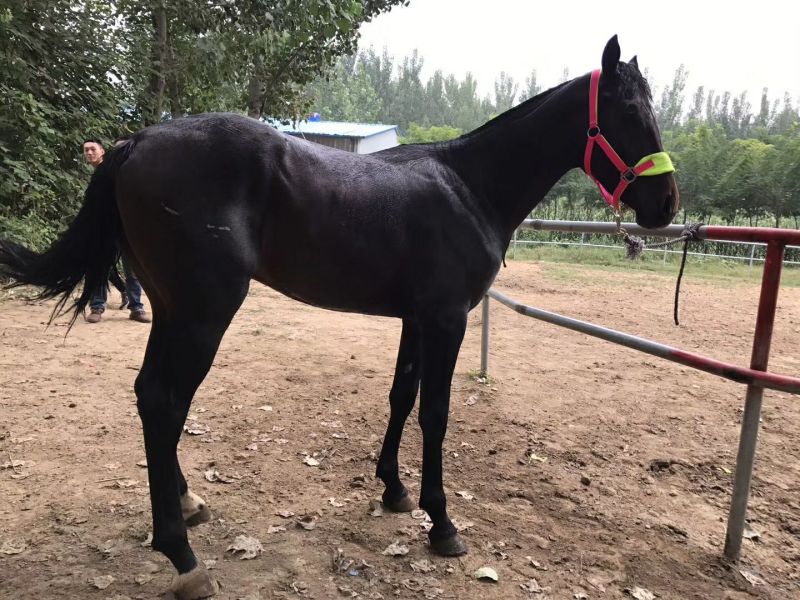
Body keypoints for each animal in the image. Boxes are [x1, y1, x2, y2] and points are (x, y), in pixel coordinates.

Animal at [0, 36, 678, 599]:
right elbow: (436, 413)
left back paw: (186, 506)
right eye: (628, 112)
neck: (469, 187)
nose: (665, 205)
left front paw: (394, 490)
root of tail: (135, 142)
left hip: (171, 308)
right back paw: (185, 558)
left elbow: (401, 397)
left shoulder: (416, 320)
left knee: (151, 398)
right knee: (166, 401)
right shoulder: (447, 320)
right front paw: (441, 523)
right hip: (203, 313)